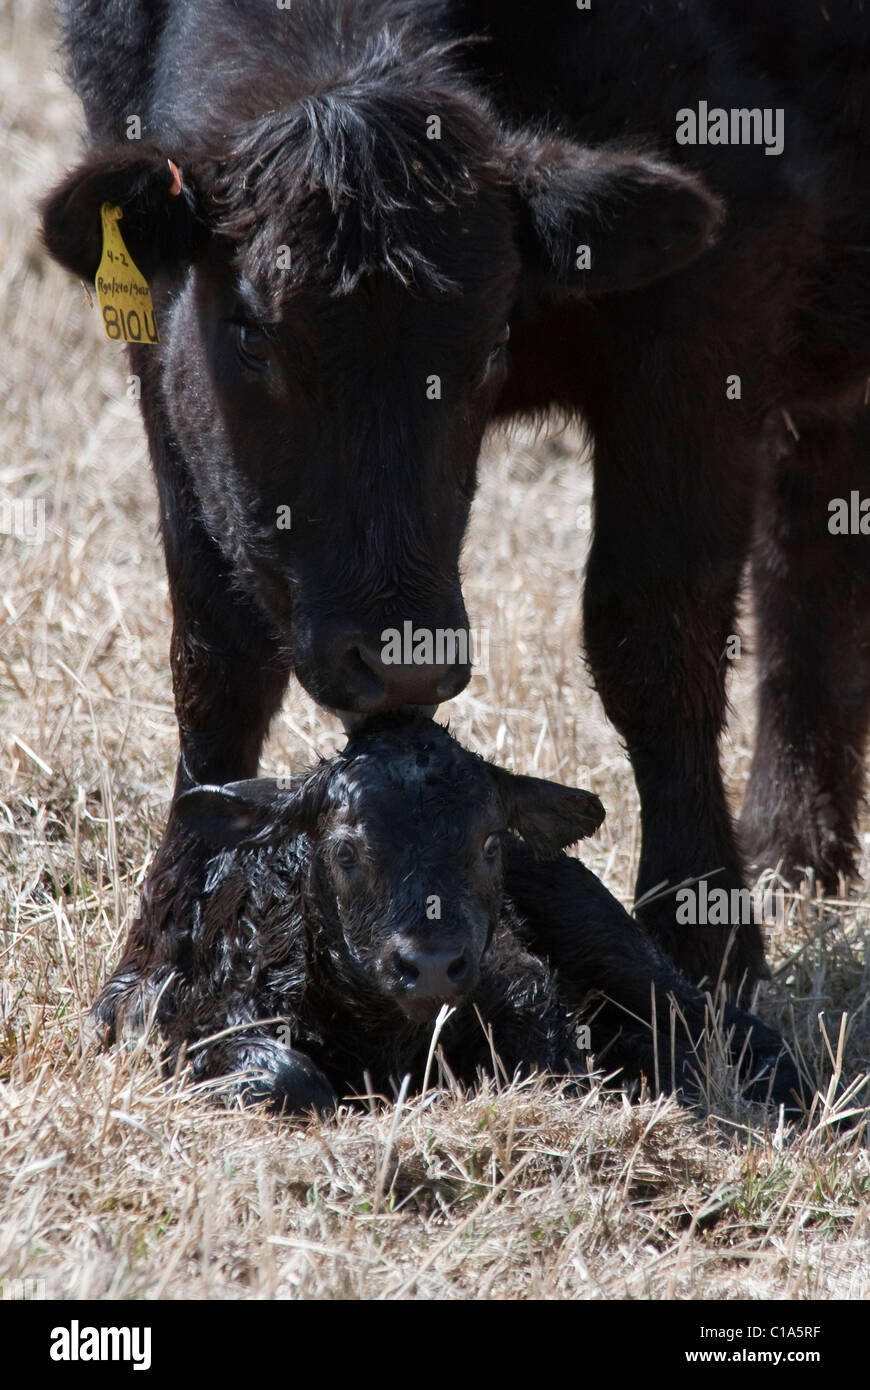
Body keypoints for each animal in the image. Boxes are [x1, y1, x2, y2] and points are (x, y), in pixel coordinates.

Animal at [40, 0, 870, 1000]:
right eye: (254, 336)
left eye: (490, 343)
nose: (401, 660)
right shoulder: (158, 357)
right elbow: (214, 653)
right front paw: (164, 945)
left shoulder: (711, 313)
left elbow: (652, 638)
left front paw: (704, 948)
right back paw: (796, 851)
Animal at [103, 722, 806, 1112]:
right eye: (345, 850)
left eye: (489, 843)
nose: (434, 965)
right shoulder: (203, 1018)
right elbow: (286, 1078)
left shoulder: (527, 994)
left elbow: (554, 1063)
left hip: (611, 938)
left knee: (717, 1023)